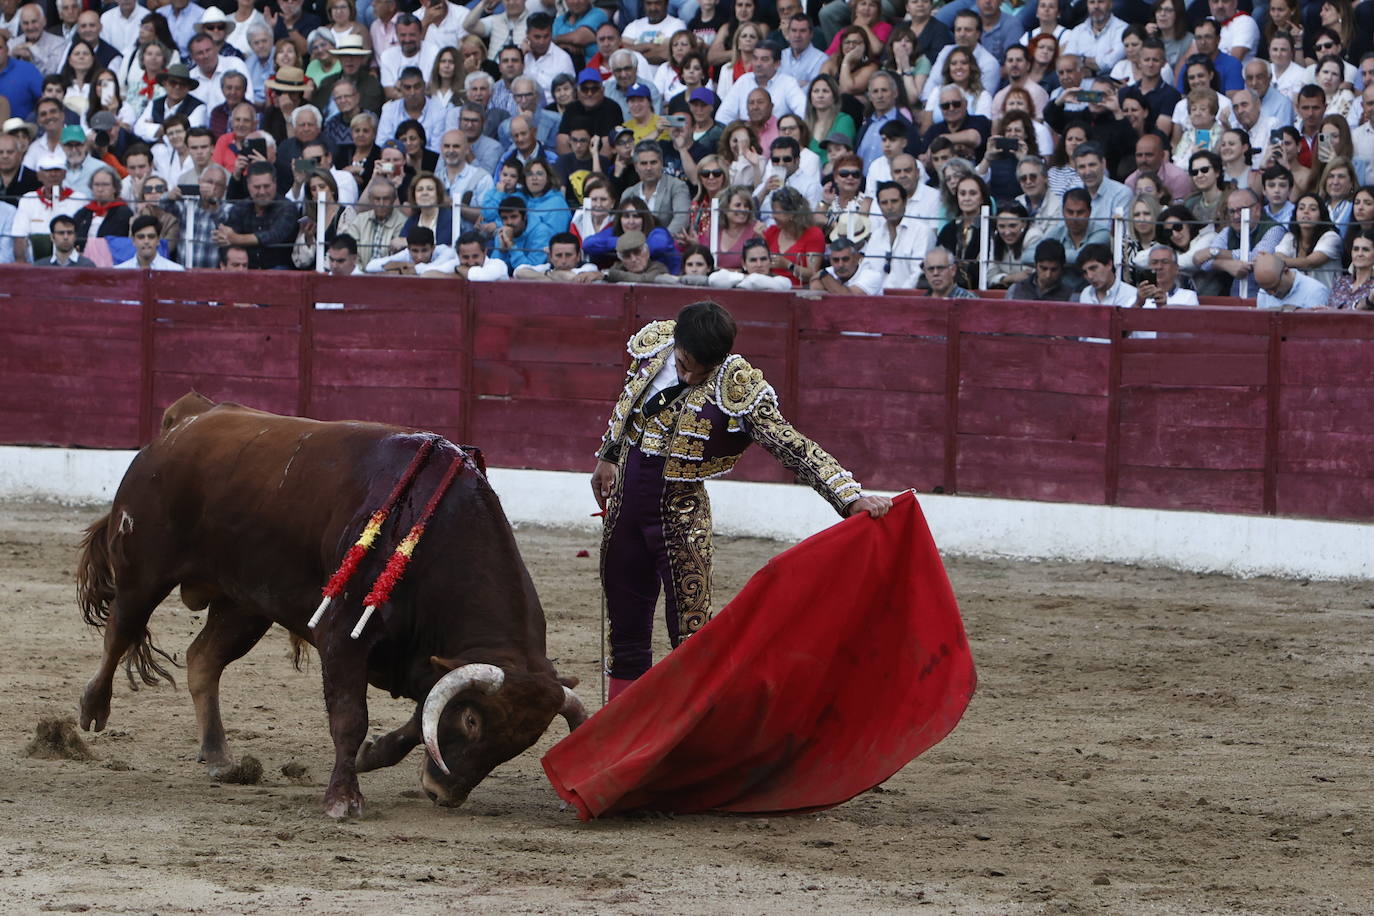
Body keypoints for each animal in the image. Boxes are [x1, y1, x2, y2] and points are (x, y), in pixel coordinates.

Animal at [76, 390, 585, 818]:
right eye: (473, 720)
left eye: (522, 742)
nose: (445, 794)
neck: (433, 534)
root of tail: (185, 420)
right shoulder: (343, 635)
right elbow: (349, 717)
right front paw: (343, 798)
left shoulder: (429, 658)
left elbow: (420, 713)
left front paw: (370, 756)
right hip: (144, 568)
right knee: (120, 629)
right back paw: (92, 709)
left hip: (245, 604)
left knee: (203, 658)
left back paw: (220, 757)